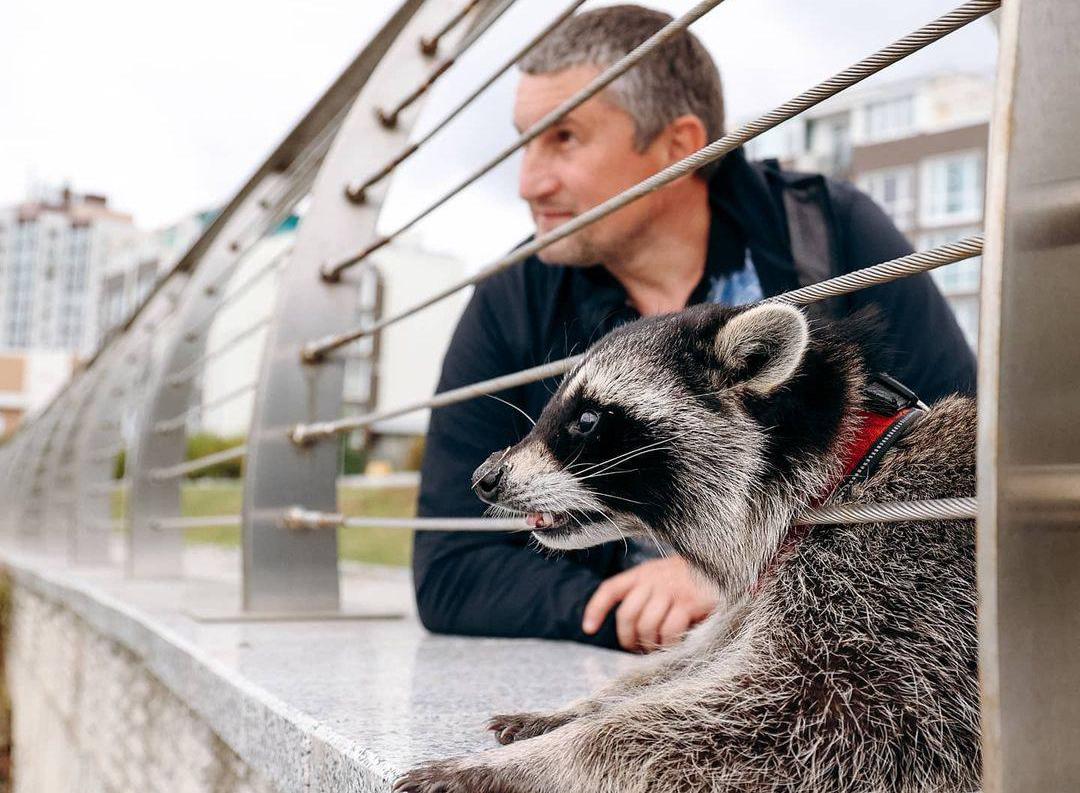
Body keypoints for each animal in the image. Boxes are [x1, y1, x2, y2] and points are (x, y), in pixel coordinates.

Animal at [395, 302, 980, 793]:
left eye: (586, 419)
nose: (484, 478)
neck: (848, 469)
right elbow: (697, 656)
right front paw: (586, 706)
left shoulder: (892, 587)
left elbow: (820, 717)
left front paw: (545, 757)